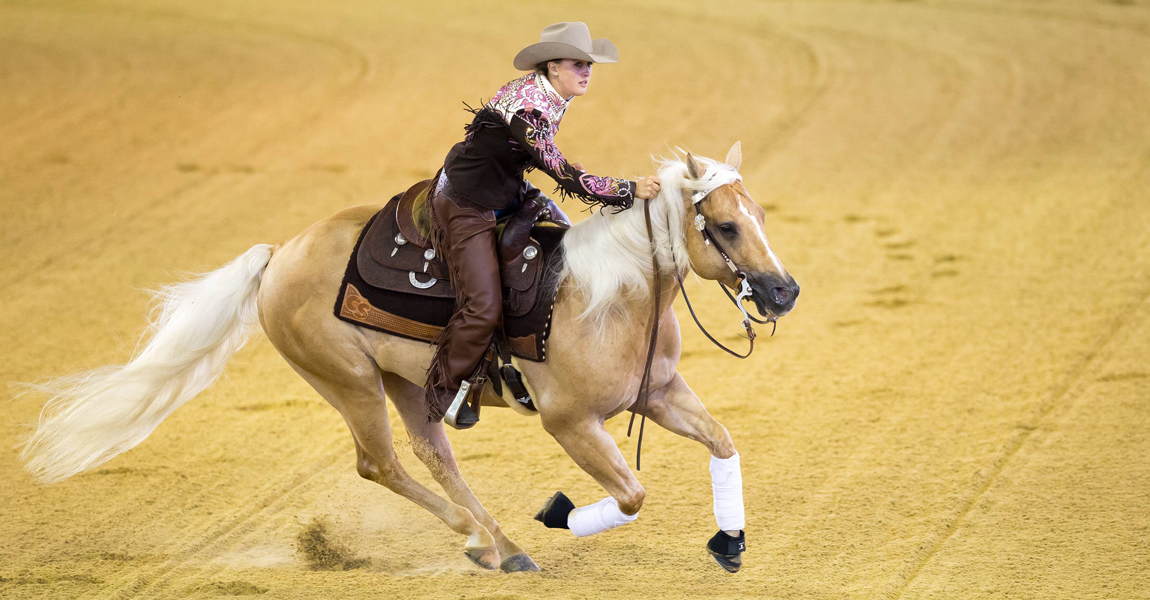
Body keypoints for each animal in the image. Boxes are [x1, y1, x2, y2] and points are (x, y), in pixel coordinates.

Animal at [24, 143, 800, 570]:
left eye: (762, 215)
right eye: (725, 225)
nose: (783, 290)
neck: (606, 296)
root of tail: (279, 256)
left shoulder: (658, 394)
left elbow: (722, 441)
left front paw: (729, 544)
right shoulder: (572, 424)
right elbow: (632, 495)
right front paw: (558, 514)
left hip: (409, 383)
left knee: (436, 456)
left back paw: (500, 546)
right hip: (350, 383)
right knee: (381, 464)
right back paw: (481, 539)